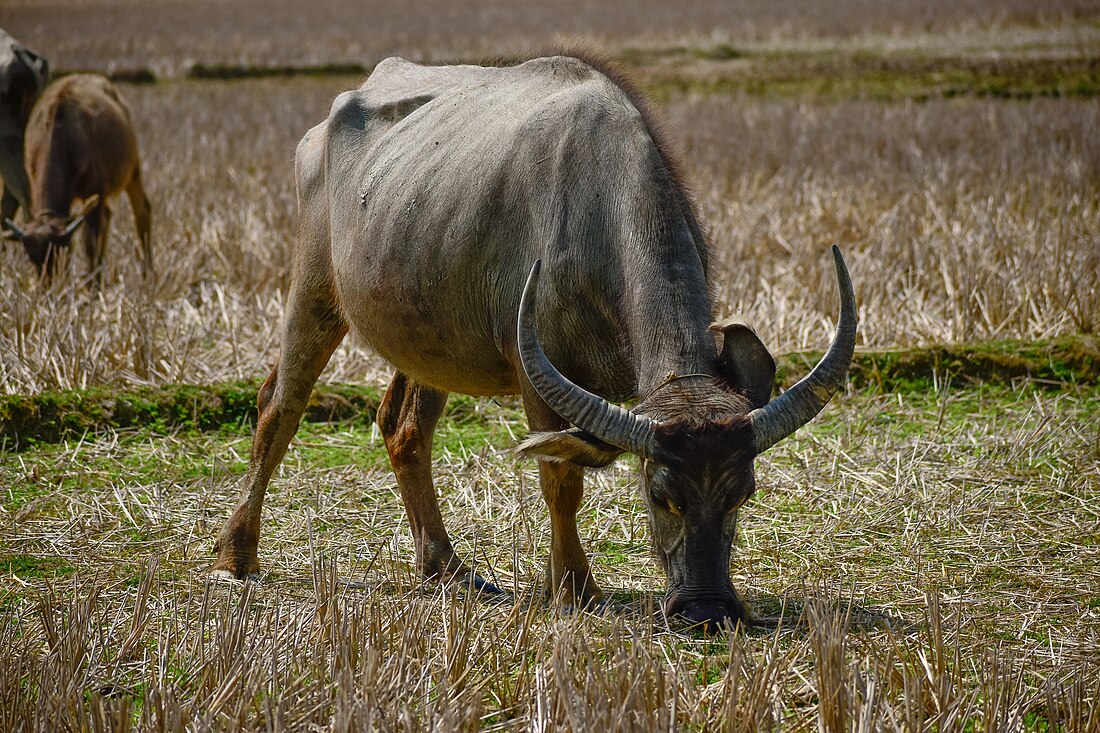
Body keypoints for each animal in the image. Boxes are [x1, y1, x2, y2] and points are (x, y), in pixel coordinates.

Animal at [1, 72, 151, 281]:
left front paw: (93, 284)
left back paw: (148, 273)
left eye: (61, 251)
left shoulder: (96, 190)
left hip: (132, 172)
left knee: (142, 212)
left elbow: (90, 242)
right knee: (108, 216)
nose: (50, 285)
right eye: (32, 257)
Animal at [212, 52, 858, 629]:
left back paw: (446, 569)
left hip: (429, 341)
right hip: (315, 286)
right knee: (280, 407)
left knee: (403, 429)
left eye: (741, 495)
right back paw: (236, 555)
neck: (596, 214)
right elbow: (561, 479)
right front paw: (573, 589)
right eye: (661, 495)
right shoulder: (535, 370)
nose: (707, 612)